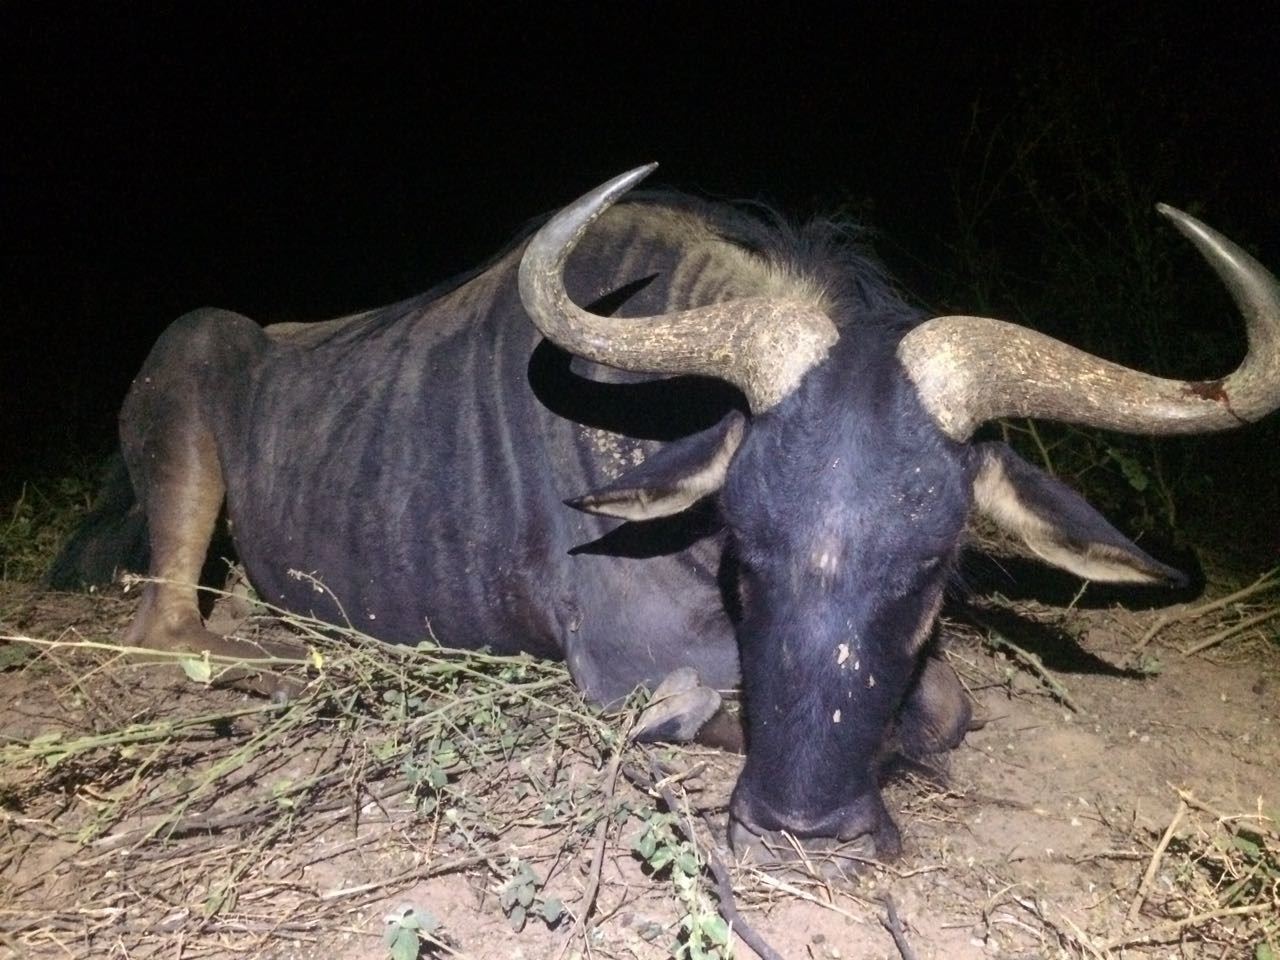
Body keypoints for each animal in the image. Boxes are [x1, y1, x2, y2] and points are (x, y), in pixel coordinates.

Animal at [53, 164, 1280, 865]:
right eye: (745, 549)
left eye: (938, 564)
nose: (805, 834)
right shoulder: (631, 662)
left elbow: (942, 704)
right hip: (186, 415)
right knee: (169, 626)